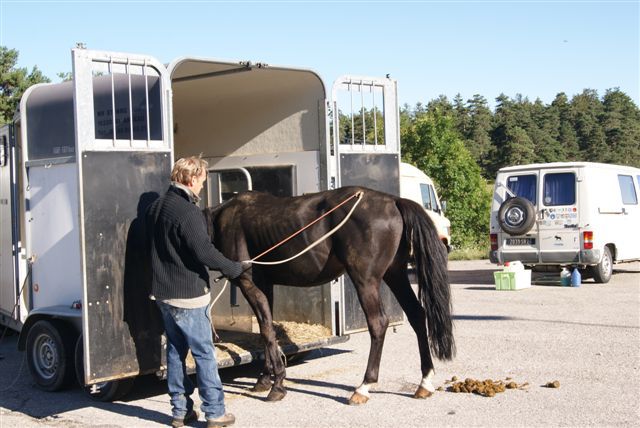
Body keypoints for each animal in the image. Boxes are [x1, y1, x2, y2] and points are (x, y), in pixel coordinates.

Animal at [204, 185, 455, 404]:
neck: (224, 218)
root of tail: (394, 201)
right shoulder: (265, 286)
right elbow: (268, 330)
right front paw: (265, 378)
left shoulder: (249, 284)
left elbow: (266, 330)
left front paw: (277, 385)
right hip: (396, 274)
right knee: (417, 315)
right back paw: (425, 382)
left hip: (366, 280)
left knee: (378, 323)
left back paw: (364, 387)